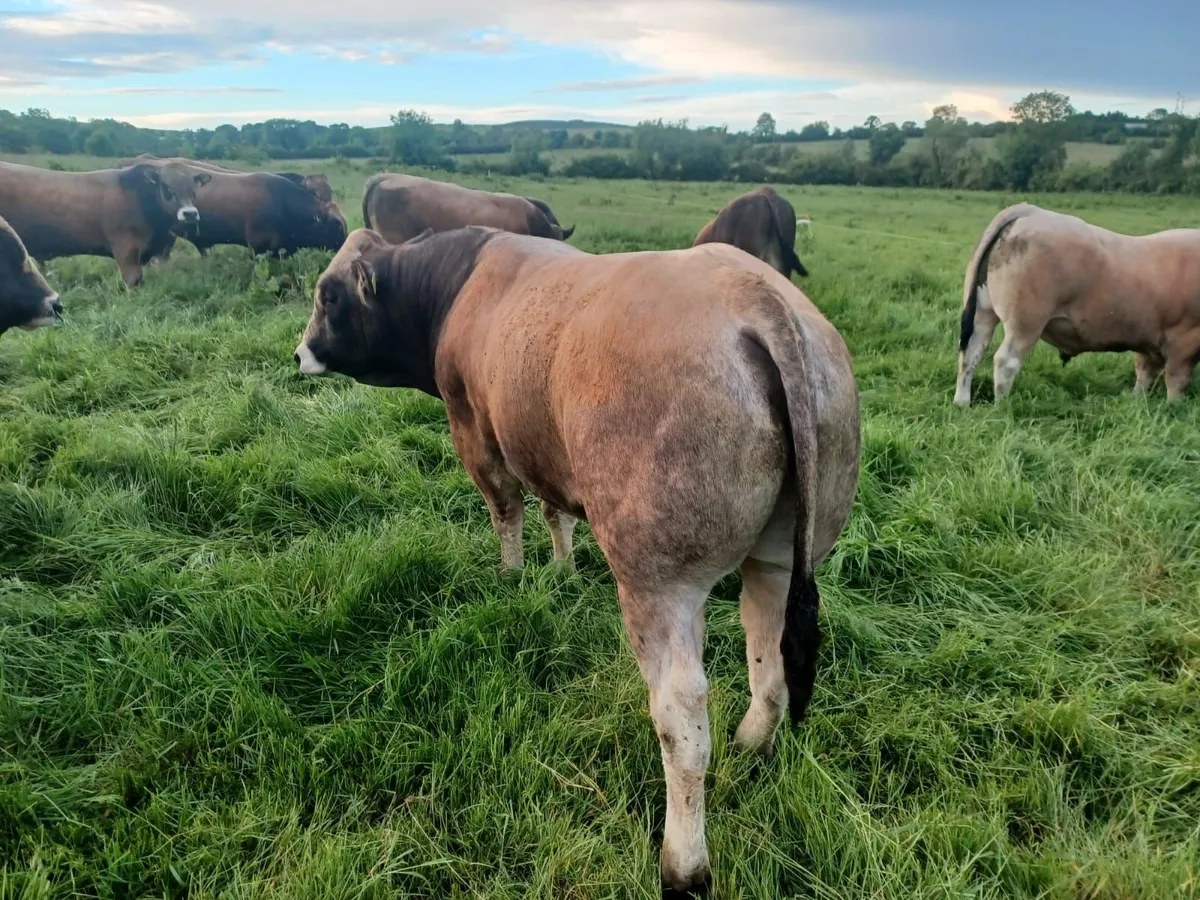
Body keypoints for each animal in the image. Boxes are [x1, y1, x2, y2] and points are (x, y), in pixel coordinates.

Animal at [294, 226, 860, 895]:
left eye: (328, 295)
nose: (299, 354)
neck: (455, 284)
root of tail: (756, 293)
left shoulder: (477, 431)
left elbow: (506, 509)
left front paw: (512, 574)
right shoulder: (542, 448)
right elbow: (553, 511)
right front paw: (561, 569)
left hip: (657, 583)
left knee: (682, 721)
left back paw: (683, 864)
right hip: (778, 559)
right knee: (769, 664)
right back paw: (751, 747)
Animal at [955, 203, 1200, 407]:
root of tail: (1030, 211)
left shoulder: (1150, 342)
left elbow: (1144, 374)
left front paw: (1138, 403)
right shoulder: (1184, 341)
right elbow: (1177, 381)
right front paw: (1173, 409)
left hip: (983, 313)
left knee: (971, 353)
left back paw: (962, 403)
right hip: (1025, 323)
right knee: (1006, 362)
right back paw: (1002, 408)